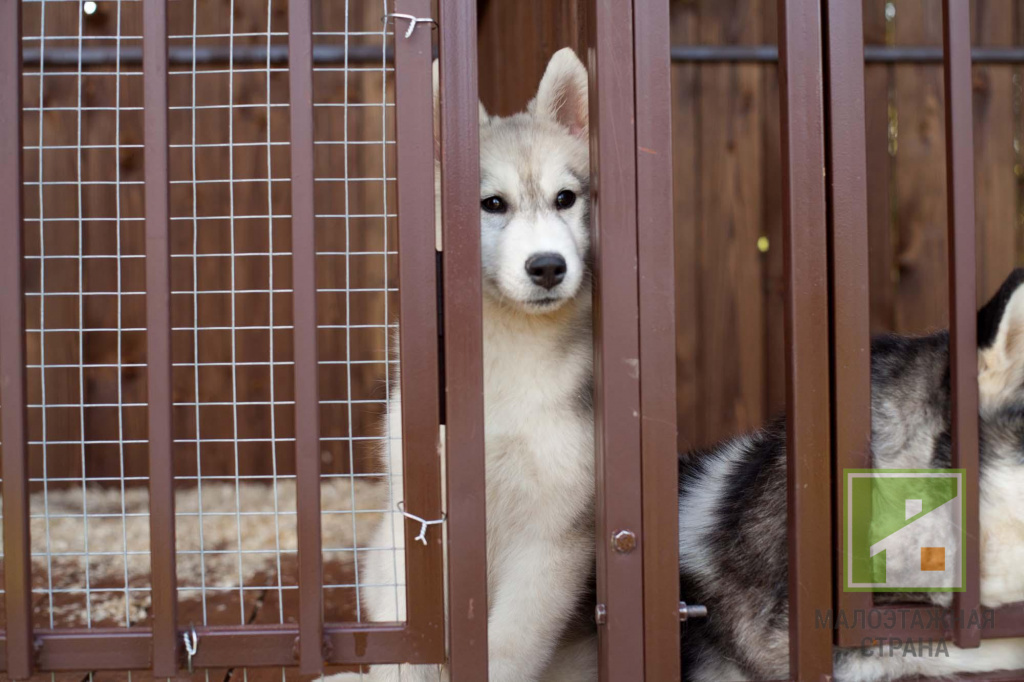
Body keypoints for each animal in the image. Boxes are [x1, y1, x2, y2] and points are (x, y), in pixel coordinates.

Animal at [327, 47, 598, 679]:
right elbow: (413, 646)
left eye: (565, 198)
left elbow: (505, 650)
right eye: (492, 204)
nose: (547, 266)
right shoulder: (418, 530)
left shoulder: (552, 538)